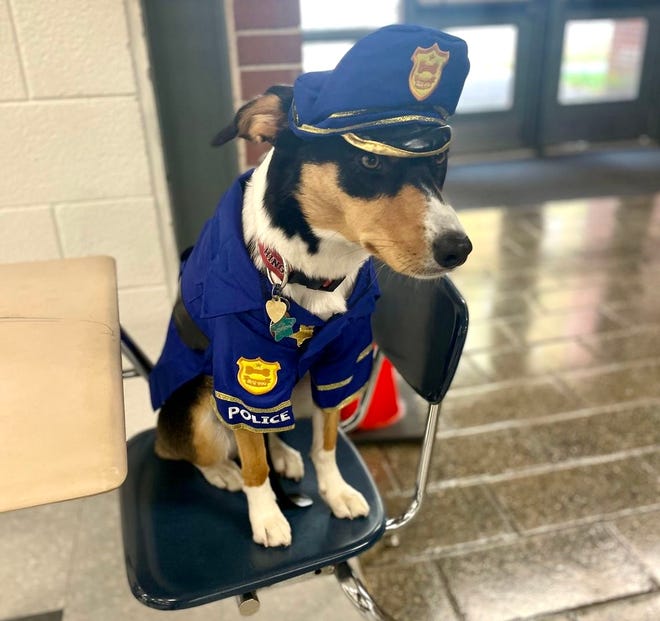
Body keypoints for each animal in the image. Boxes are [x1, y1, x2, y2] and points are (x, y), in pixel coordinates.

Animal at [149, 25, 472, 548]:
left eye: (439, 157)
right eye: (369, 162)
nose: (459, 249)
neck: (315, 269)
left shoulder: (340, 364)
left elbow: (326, 444)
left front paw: (335, 492)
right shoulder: (242, 375)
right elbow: (254, 464)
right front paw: (267, 516)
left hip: (292, 389)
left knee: (274, 430)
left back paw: (284, 453)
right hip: (200, 402)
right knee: (196, 449)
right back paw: (223, 472)